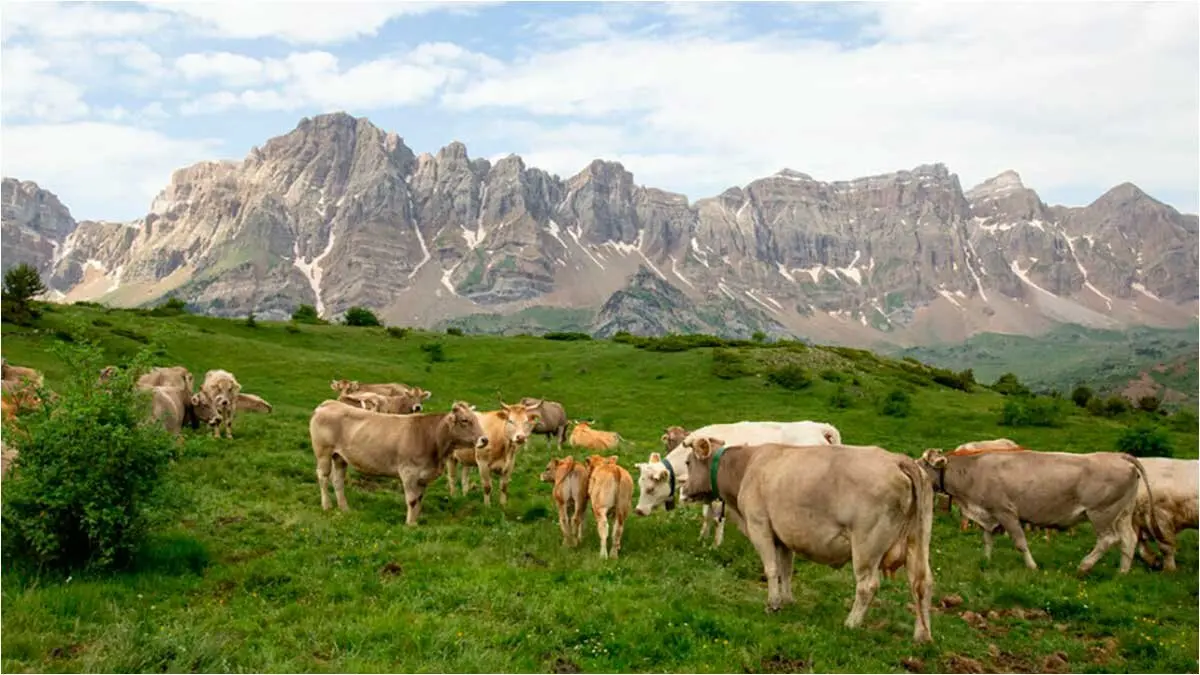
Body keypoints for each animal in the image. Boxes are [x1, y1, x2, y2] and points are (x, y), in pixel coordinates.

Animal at [308, 399, 488, 525]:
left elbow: (419, 499)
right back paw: (327, 506)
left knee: (338, 480)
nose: (485, 439)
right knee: (323, 477)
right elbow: (412, 500)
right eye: (465, 420)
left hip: (340, 457)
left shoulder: (423, 476)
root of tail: (329, 403)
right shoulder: (408, 472)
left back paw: (344, 508)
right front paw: (409, 524)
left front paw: (415, 522)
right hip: (323, 453)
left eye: (477, 419)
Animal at [634, 420, 842, 547]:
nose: (638, 511)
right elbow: (706, 515)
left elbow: (717, 518)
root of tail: (820, 428)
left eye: (650, 489)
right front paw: (702, 537)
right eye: (640, 486)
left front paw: (716, 545)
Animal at [681, 438, 934, 644]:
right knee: (922, 583)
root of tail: (898, 459)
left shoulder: (759, 526)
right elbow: (786, 569)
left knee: (868, 585)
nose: (683, 491)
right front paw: (787, 600)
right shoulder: (783, 536)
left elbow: (771, 569)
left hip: (867, 545)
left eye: (688, 462)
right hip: (918, 541)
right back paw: (922, 635)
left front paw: (772, 603)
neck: (745, 467)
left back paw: (851, 623)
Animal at [918, 448, 1162, 574]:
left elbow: (1020, 542)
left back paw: (1084, 566)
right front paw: (986, 562)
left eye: (922, 464)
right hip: (1123, 513)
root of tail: (1119, 455)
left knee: (1108, 539)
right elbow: (987, 540)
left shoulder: (1006, 512)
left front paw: (1032, 566)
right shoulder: (990, 513)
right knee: (1129, 539)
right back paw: (1122, 572)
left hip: (1102, 512)